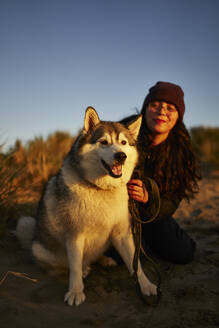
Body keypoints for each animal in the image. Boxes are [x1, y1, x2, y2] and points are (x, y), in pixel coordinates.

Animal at [16, 107, 157, 304]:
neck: (100, 189)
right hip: (41, 248)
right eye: (104, 142)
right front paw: (75, 291)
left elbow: (135, 265)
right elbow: (74, 267)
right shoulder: (75, 235)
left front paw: (146, 285)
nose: (121, 156)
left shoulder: (122, 234)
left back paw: (104, 260)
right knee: (66, 265)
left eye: (123, 142)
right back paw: (82, 269)